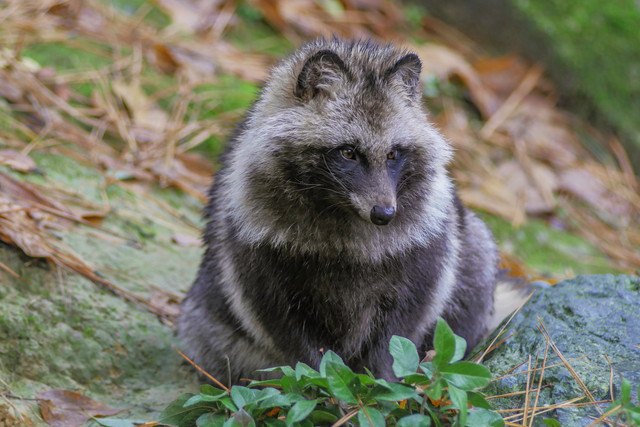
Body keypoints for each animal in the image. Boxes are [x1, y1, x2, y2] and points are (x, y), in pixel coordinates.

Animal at [178, 38, 498, 382]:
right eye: (348, 152)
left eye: (393, 154)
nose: (384, 214)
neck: (344, 213)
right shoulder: (254, 254)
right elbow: (287, 331)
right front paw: (323, 384)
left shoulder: (424, 253)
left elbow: (399, 331)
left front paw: (385, 384)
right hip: (206, 321)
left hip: (473, 249)